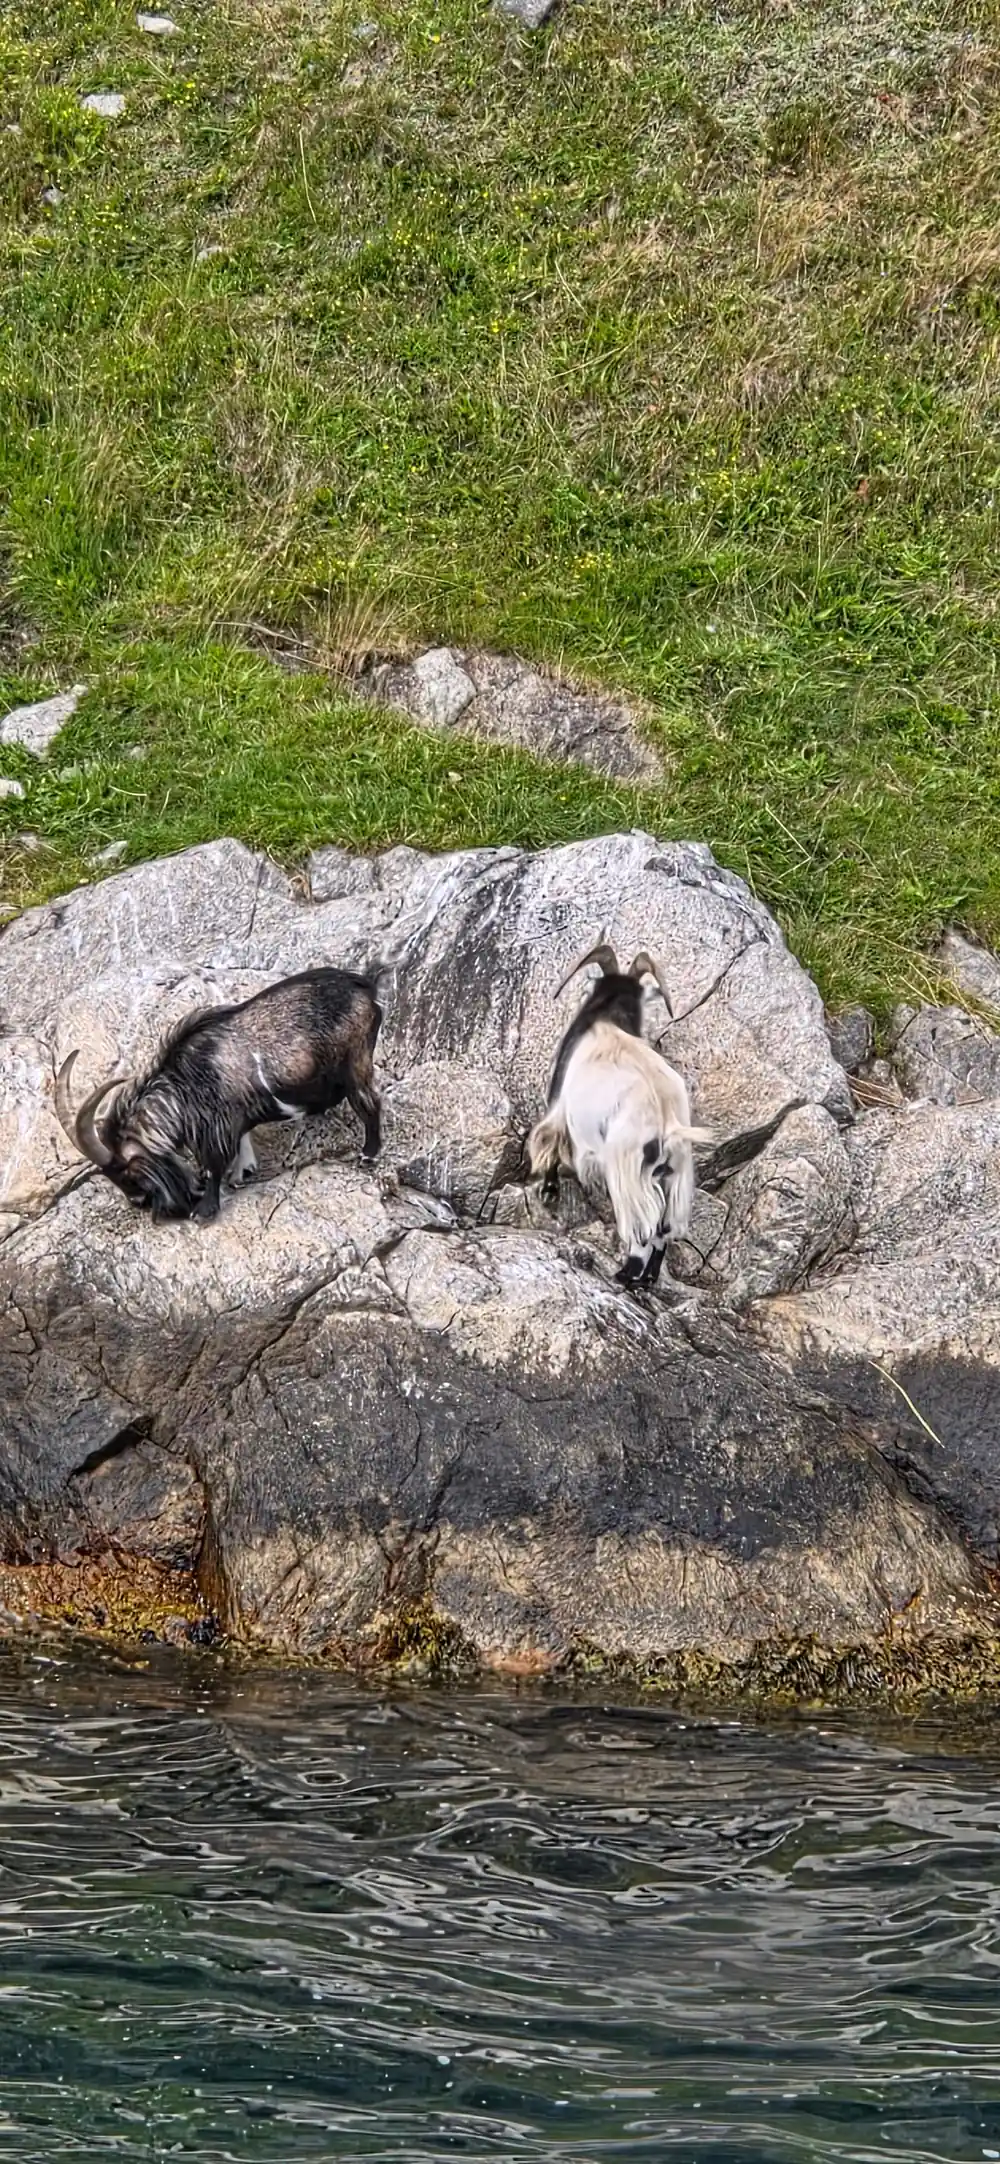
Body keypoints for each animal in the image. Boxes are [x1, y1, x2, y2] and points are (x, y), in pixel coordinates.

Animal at [54, 966, 382, 1223]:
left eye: (129, 1173)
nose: (139, 1202)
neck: (181, 1087)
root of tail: (365, 988)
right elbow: (242, 1145)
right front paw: (242, 1173)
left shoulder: (217, 1126)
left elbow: (214, 1164)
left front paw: (204, 1210)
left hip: (355, 1059)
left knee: (369, 1102)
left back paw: (368, 1153)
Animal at [527, 943, 711, 1290]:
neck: (606, 1019)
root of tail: (667, 1122)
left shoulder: (559, 1108)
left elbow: (552, 1149)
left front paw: (549, 1191)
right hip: (675, 1173)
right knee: (664, 1228)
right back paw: (646, 1280)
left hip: (627, 1169)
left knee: (643, 1227)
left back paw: (625, 1275)